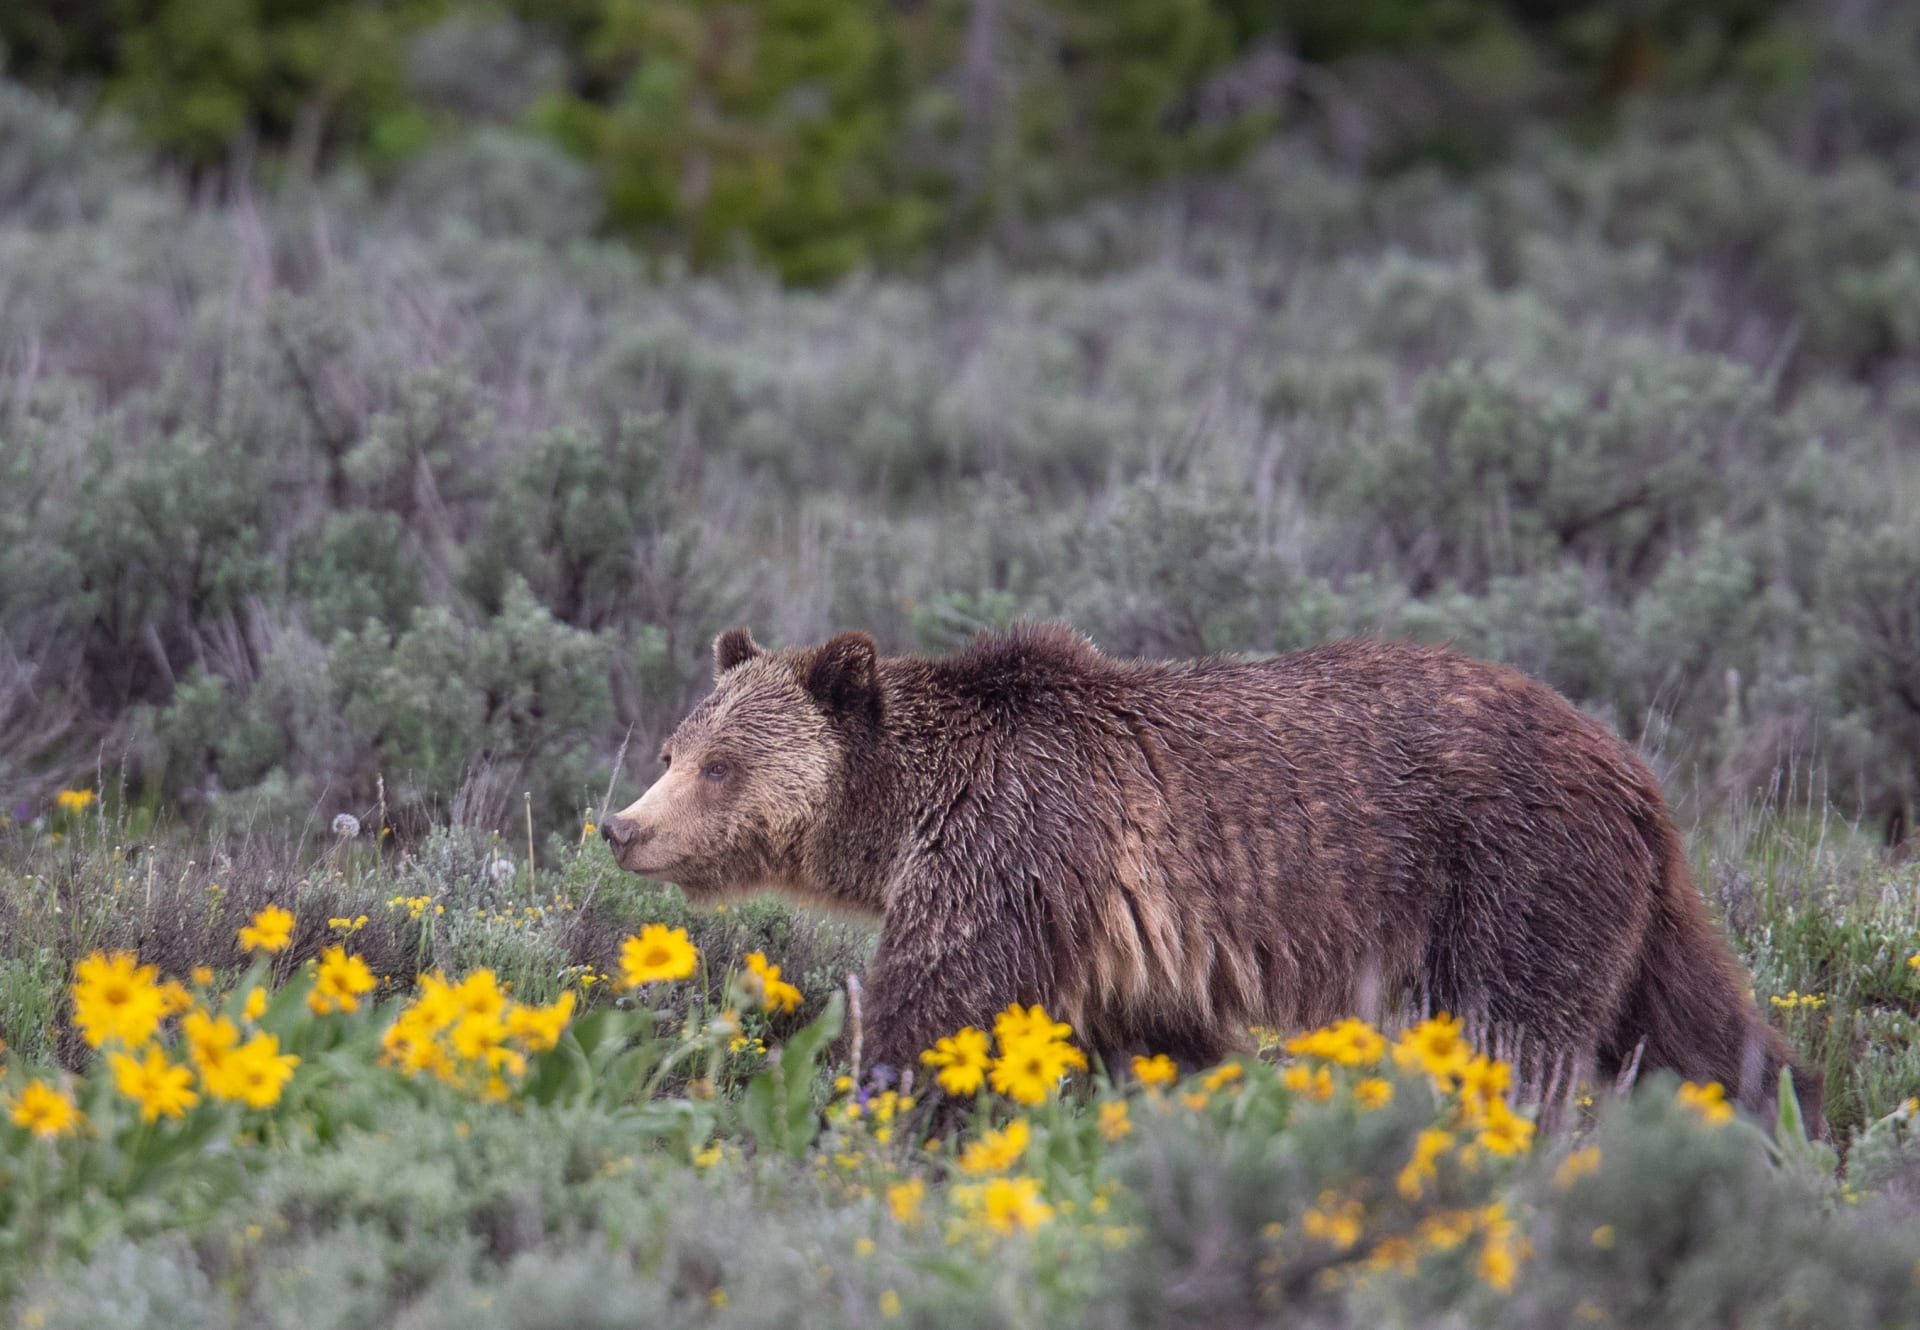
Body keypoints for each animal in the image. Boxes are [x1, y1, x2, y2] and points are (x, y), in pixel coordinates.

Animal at [601, 624, 1817, 1123]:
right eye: (669, 748)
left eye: (720, 764)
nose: (621, 827)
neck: (906, 811)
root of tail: (1635, 766)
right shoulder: (1120, 938)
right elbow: (1162, 1043)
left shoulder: (1018, 842)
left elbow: (942, 1007)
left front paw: (867, 1117)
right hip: (1631, 909)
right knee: (1697, 1026)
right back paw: (1778, 1117)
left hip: (1515, 877)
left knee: (1512, 1039)